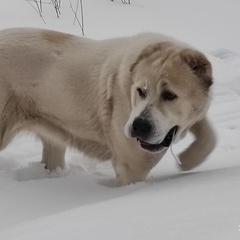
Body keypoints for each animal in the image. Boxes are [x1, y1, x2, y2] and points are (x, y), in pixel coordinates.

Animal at [0, 27, 216, 186]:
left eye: (170, 95)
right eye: (140, 90)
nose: (139, 126)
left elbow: (210, 135)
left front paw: (189, 160)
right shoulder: (133, 165)